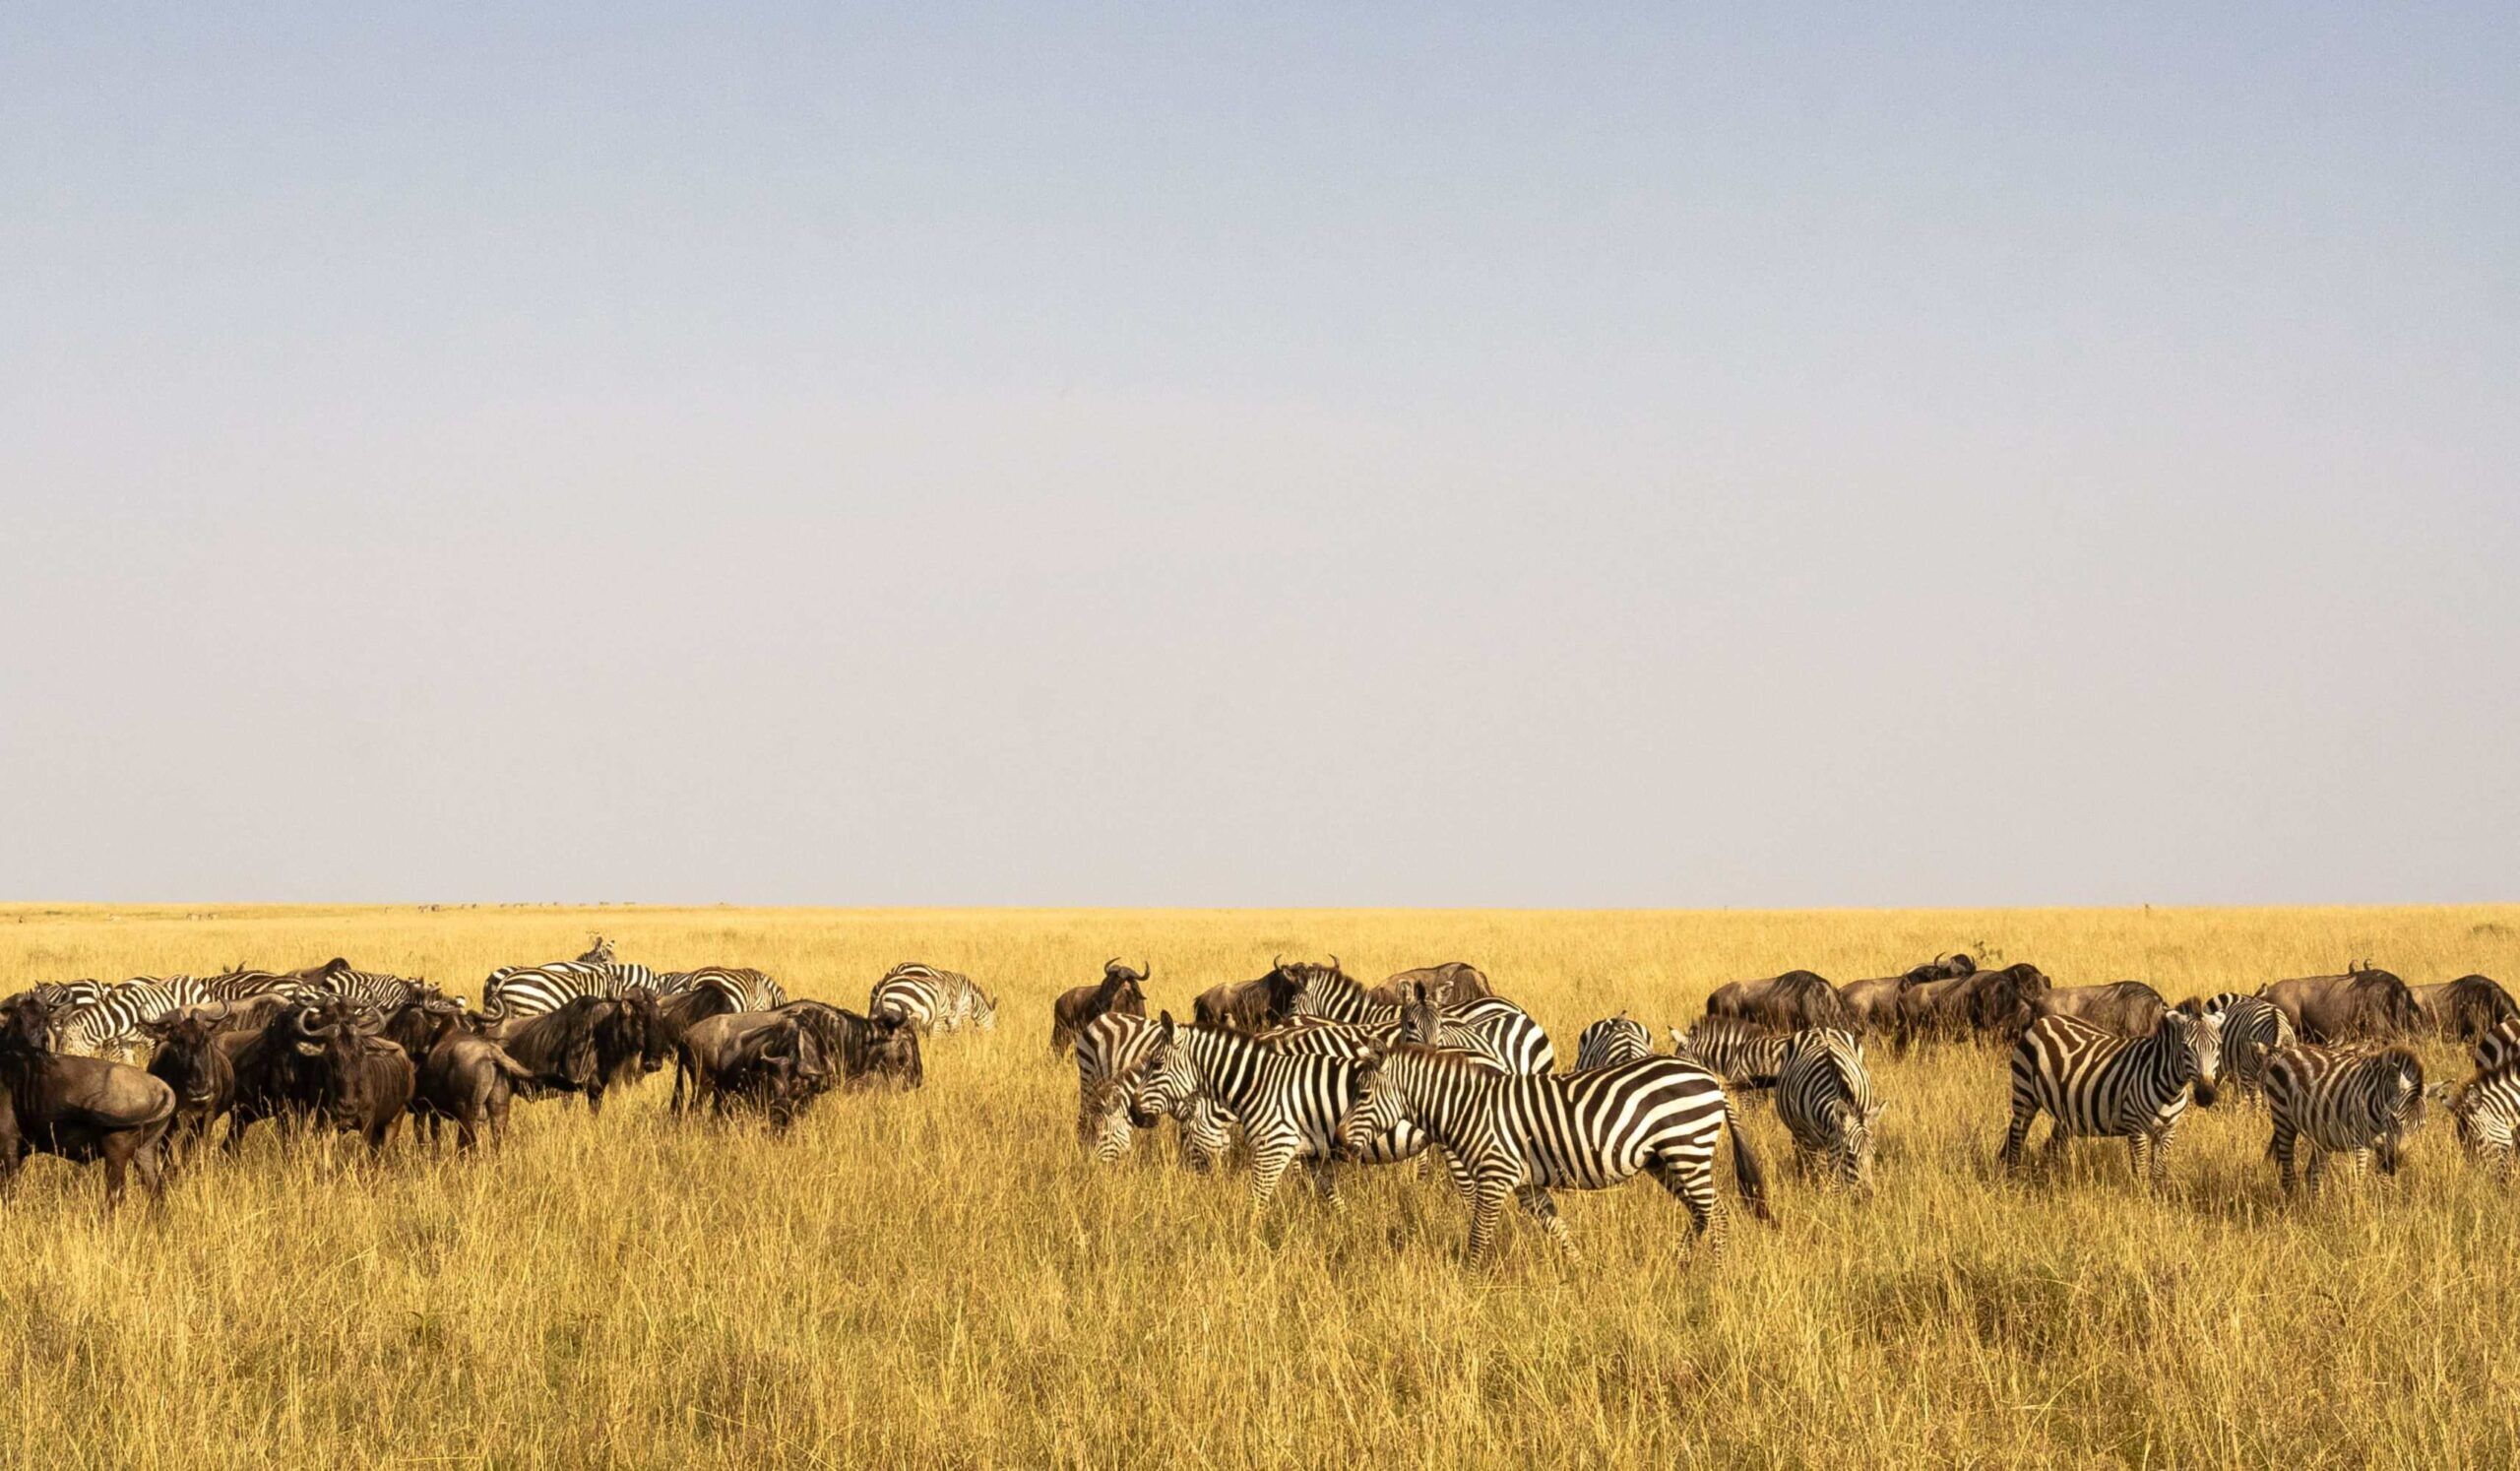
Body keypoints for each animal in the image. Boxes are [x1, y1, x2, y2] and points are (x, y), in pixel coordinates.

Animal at [1320, 1048, 1774, 1264]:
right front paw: (1581, 1272)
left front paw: (1470, 1283)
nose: (1337, 1140)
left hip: (1687, 1147)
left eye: (1363, 1094)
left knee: (1717, 1213)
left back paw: (1715, 1274)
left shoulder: (1496, 1173)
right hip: (1664, 1159)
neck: (1468, 1107)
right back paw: (1680, 1262)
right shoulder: (1526, 1183)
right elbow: (1557, 1228)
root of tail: (1711, 1079)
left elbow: (1478, 1235)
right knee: (1701, 1212)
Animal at [1784, 1027, 1884, 1188]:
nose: (1869, 1193)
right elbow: (1815, 1169)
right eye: (1850, 1154)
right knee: (1803, 1158)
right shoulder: (1807, 1138)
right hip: (1798, 1133)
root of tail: (1820, 1028)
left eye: (1873, 1152)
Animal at [1995, 1007, 2217, 1188]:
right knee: (2017, 1135)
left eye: (2217, 1046)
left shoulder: (2169, 1130)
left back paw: (2055, 1179)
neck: (2170, 1089)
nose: (2206, 1095)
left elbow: (2158, 1173)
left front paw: (2157, 1200)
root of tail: (2043, 1021)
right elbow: (2141, 1171)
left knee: (2052, 1145)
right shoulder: (2136, 1128)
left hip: (2065, 1108)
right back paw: (2013, 1177)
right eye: (2185, 1047)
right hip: (2024, 1095)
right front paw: (2142, 1202)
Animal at [2268, 1037, 2419, 1188]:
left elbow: (2384, 1182)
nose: (2393, 1165)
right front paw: (2358, 1195)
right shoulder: (2360, 1138)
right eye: (2394, 1118)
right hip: (2282, 1118)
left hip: (2320, 1133)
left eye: (2419, 1126)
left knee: (2313, 1173)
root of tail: (2291, 1051)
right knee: (2288, 1175)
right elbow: (2359, 1179)